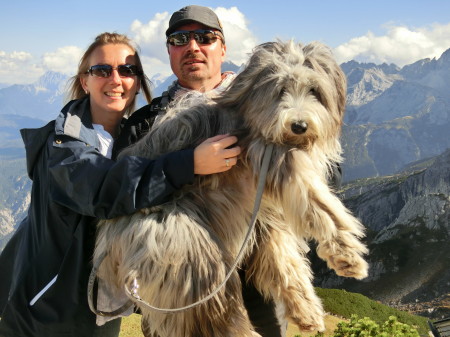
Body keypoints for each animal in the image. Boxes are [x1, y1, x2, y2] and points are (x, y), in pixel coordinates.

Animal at [94, 40, 370, 334]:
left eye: (314, 91)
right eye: (280, 90)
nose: (298, 126)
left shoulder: (267, 214)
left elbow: (285, 259)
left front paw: (306, 311)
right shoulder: (268, 154)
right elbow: (319, 203)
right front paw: (347, 254)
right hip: (187, 250)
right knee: (214, 312)